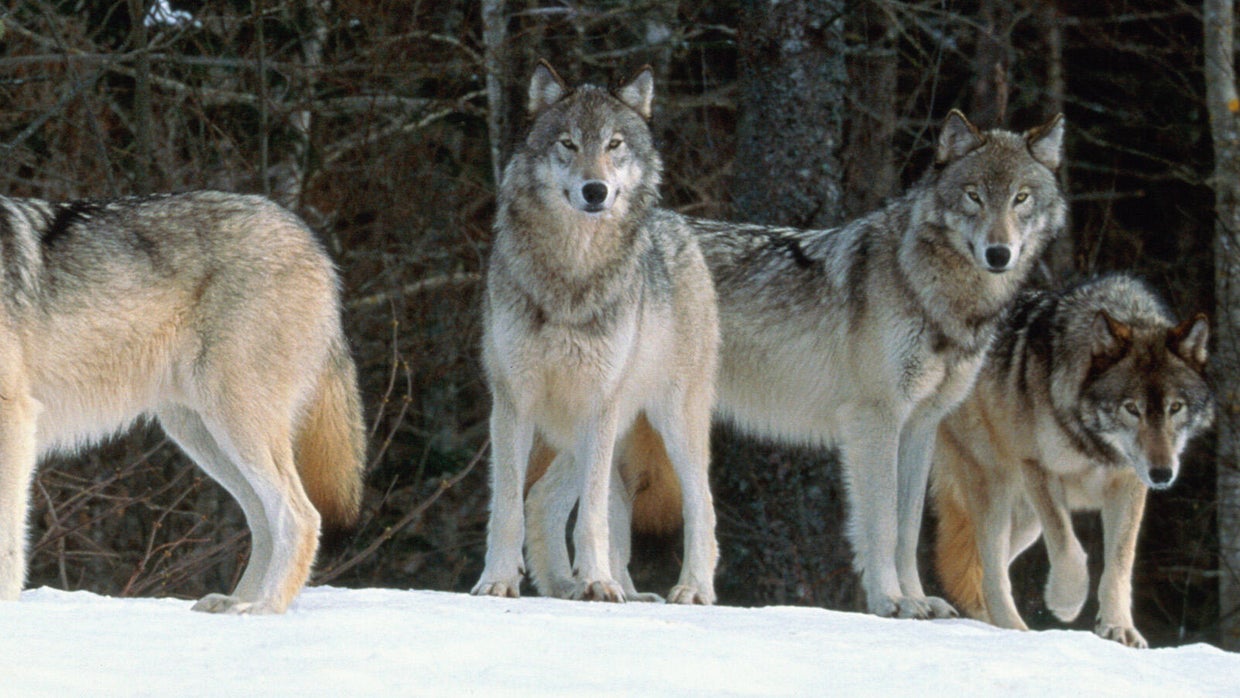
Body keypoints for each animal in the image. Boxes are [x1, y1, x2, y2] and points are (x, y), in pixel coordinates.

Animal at [0, 190, 365, 614]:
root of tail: (313, 243)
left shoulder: (14, 417)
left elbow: (8, 541)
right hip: (201, 435)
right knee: (262, 519)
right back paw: (234, 602)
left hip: (235, 422)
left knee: (300, 516)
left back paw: (265, 608)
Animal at [470, 61, 720, 604]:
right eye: (568, 143)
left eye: (614, 144)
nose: (595, 190)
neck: (573, 272)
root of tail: (681, 224)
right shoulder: (514, 401)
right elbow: (508, 507)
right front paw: (498, 580)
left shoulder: (599, 404)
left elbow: (593, 517)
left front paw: (599, 582)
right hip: (583, 429)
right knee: (547, 499)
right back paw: (573, 587)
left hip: (669, 421)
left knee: (700, 505)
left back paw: (688, 589)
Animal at [527, 110, 1067, 618]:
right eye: (974, 196)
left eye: (1020, 198)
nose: (999, 253)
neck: (932, 293)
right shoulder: (875, 422)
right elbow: (883, 523)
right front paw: (891, 601)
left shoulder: (920, 427)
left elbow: (908, 526)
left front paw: (918, 601)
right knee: (558, 499)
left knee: (548, 499)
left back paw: (582, 590)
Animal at [932, 274, 1212, 647]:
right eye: (1132, 408)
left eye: (1175, 407)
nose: (1162, 474)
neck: (1095, 445)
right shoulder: (1038, 468)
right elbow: (1068, 548)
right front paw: (1066, 601)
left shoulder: (1128, 484)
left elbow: (1119, 564)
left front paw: (1118, 627)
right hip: (994, 489)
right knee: (990, 573)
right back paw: (1014, 630)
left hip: (1026, 521)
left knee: (974, 569)